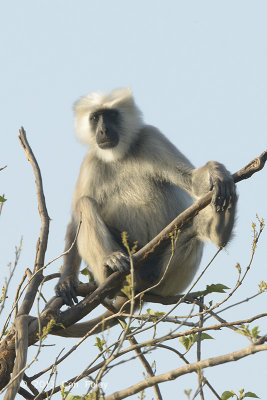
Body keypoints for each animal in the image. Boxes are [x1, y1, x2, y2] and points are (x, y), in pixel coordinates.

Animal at [55, 88, 238, 312]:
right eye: (96, 118)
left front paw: (215, 170)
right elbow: (74, 220)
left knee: (194, 230)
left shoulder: (150, 136)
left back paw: (221, 229)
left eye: (112, 115)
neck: (119, 155)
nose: (104, 130)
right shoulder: (92, 161)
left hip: (165, 277)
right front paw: (66, 281)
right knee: (84, 203)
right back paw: (110, 265)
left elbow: (193, 181)